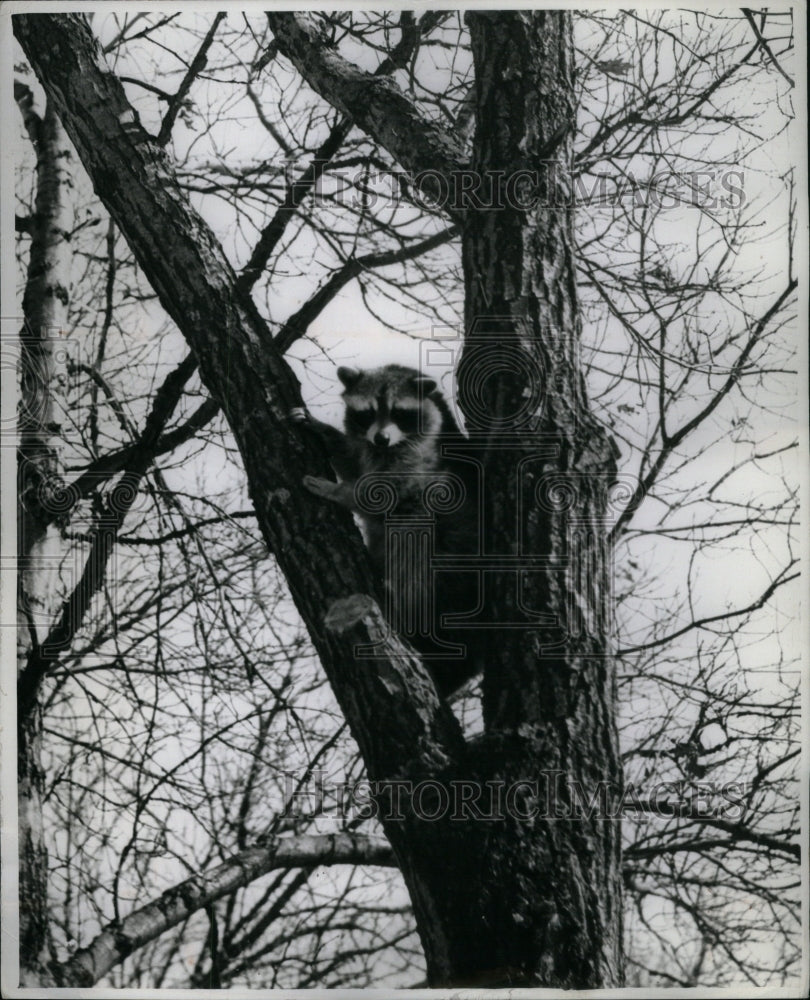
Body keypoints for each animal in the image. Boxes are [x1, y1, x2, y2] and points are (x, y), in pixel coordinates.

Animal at [292, 364, 476, 700]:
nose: (380, 438)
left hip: (446, 548)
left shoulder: (422, 460)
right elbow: (354, 462)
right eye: (367, 413)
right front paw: (324, 432)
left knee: (414, 565)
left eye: (399, 412)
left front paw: (339, 491)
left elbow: (383, 492)